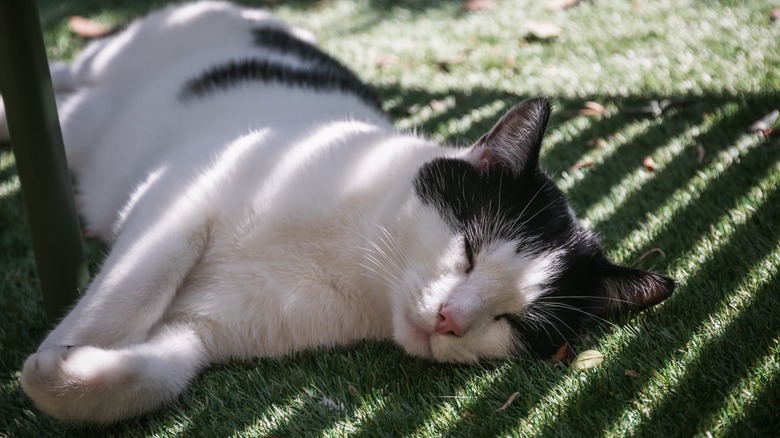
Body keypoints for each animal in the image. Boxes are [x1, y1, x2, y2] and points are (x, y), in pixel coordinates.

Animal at [1, 0, 676, 424]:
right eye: (468, 250)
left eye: (514, 321)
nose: (451, 320)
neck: (353, 262)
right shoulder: (184, 193)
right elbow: (133, 285)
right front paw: (72, 340)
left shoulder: (207, 327)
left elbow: (162, 372)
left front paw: (59, 374)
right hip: (106, 75)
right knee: (68, 82)